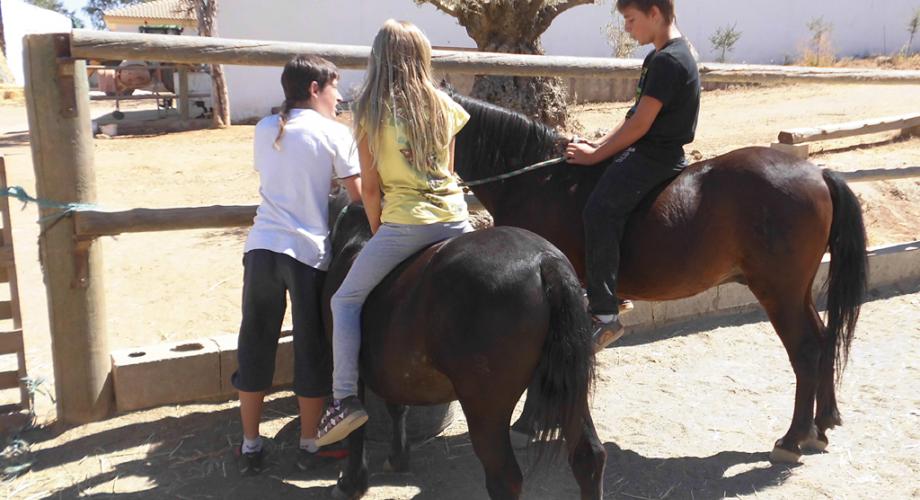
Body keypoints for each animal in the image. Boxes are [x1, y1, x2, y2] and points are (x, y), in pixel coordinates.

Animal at [450, 91, 868, 464]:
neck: (539, 182)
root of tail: (818, 173)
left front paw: (526, 425)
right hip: (797, 291)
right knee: (824, 338)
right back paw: (821, 426)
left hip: (779, 293)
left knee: (806, 350)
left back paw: (792, 440)